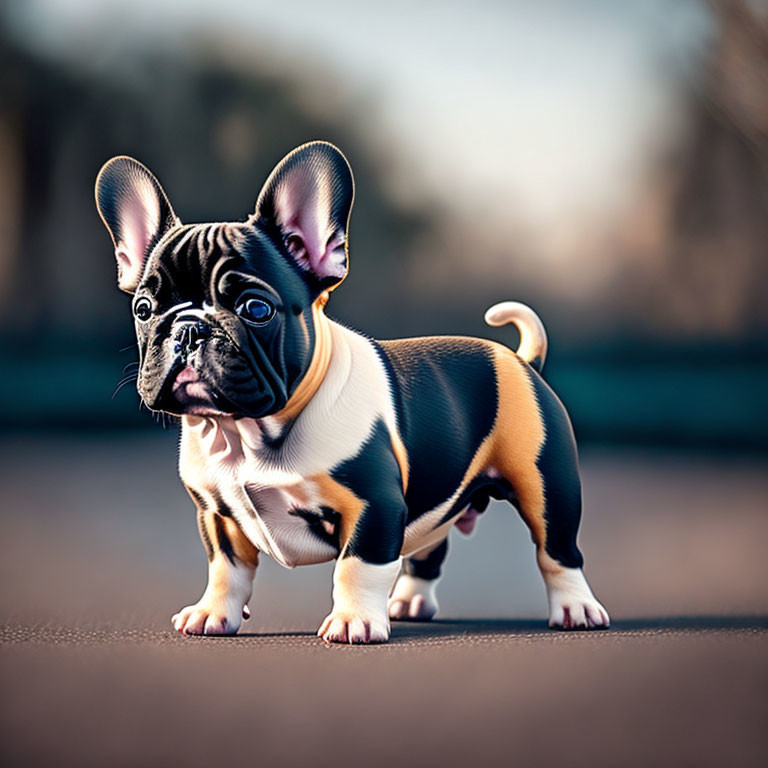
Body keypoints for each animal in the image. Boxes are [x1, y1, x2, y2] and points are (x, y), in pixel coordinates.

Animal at [96, 140, 608, 640]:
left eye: (256, 308)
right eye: (144, 309)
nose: (188, 328)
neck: (248, 435)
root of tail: (520, 360)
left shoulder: (373, 505)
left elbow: (357, 567)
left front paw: (354, 621)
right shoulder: (217, 515)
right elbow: (227, 569)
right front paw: (212, 613)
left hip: (544, 483)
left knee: (557, 549)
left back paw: (576, 608)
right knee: (429, 547)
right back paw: (410, 601)